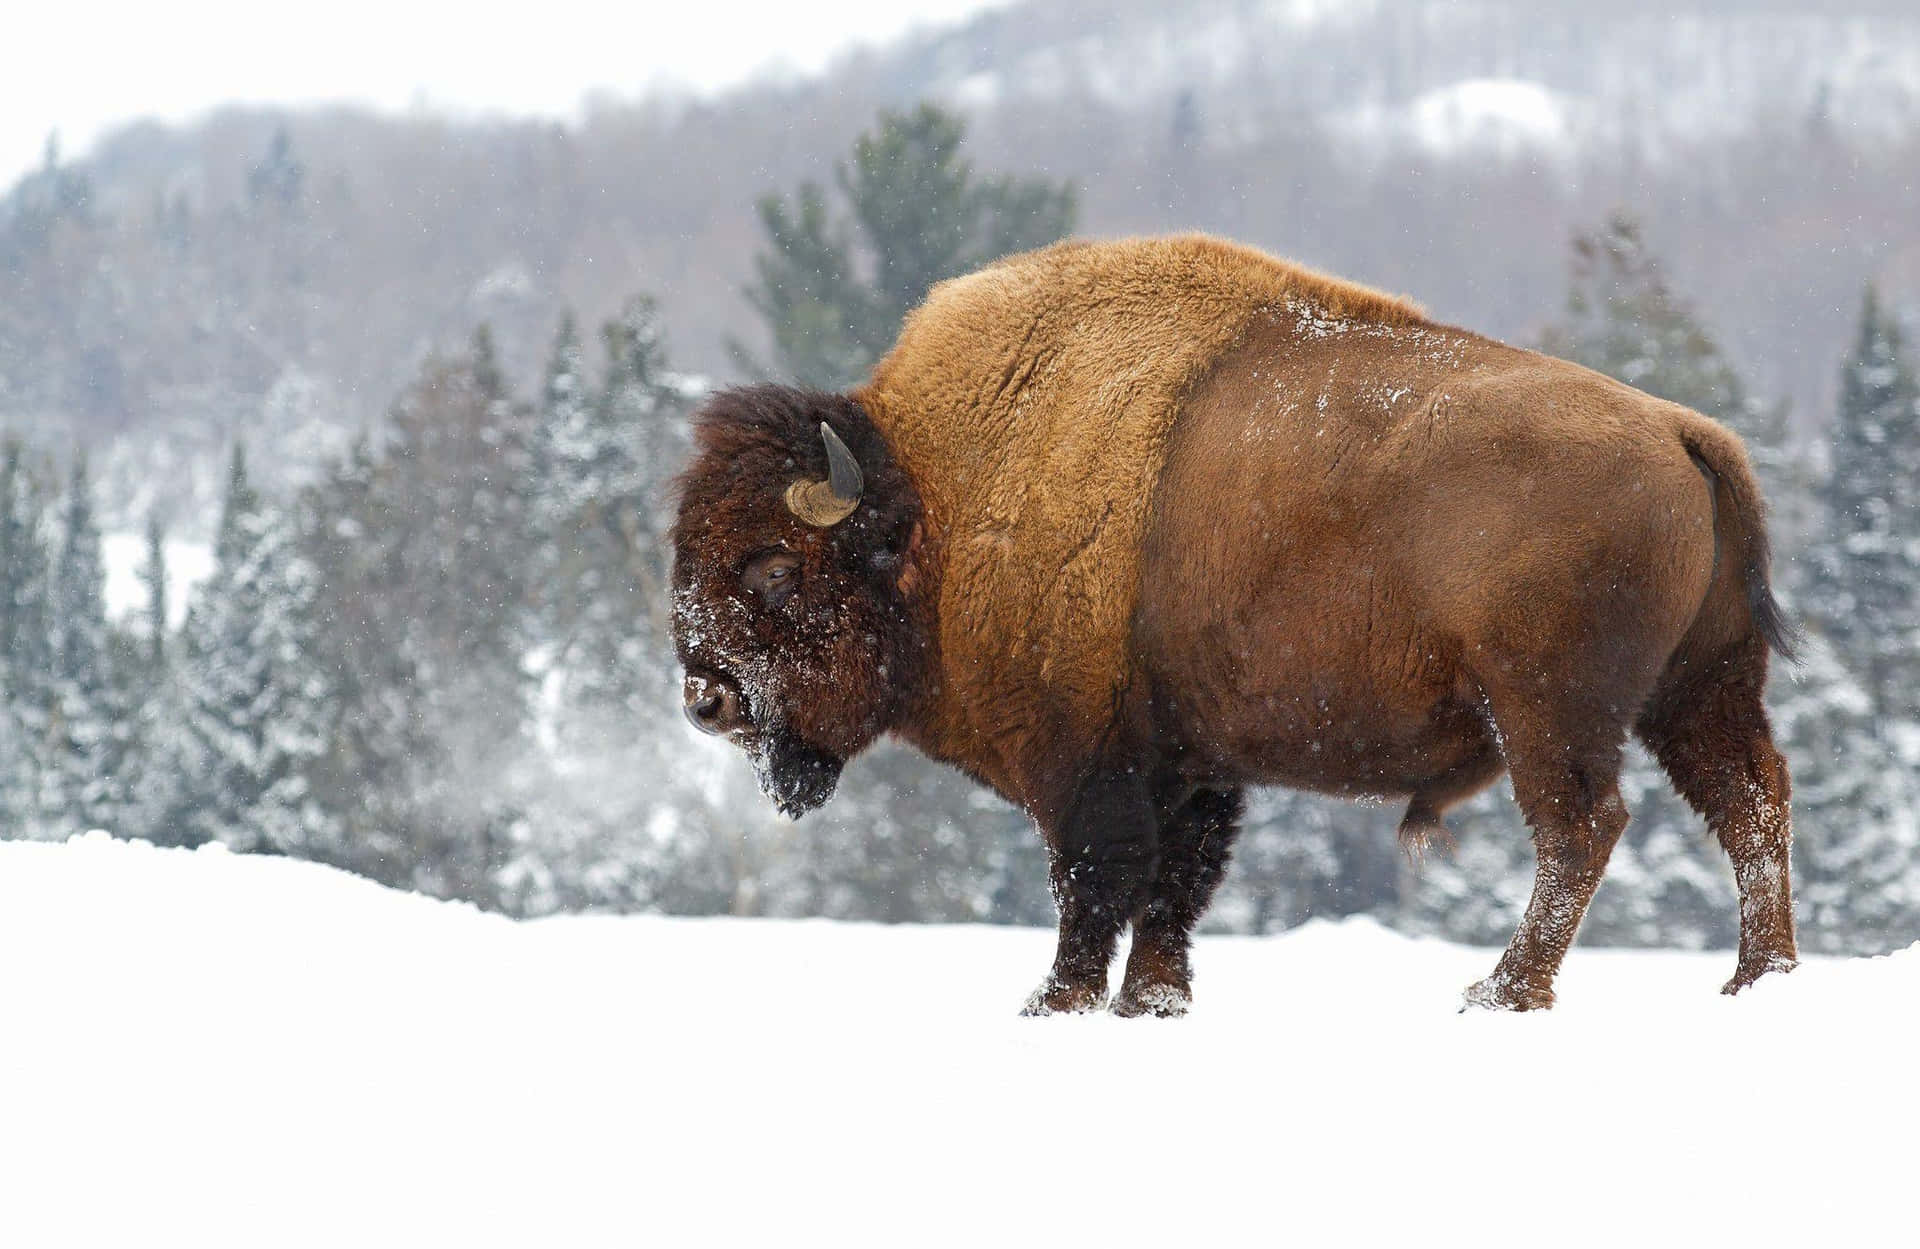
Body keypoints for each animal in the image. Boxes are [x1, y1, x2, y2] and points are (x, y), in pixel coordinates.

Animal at [675, 232, 1797, 1013]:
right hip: (1697, 690)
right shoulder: (1191, 761)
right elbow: (1176, 884)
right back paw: (1759, 978)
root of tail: (1682, 431)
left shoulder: (1088, 762)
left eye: (774, 567)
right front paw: (1153, 1001)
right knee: (1750, 803)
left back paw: (1503, 990)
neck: (938, 498)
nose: (703, 696)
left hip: (1549, 708)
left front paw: (1056, 1000)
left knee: (1581, 827)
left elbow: (1096, 881)